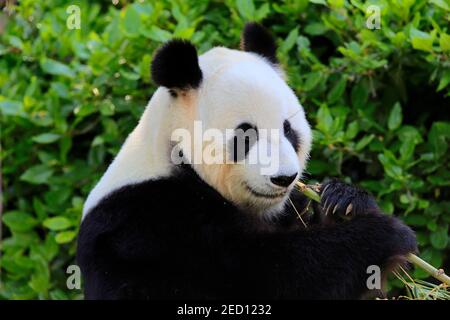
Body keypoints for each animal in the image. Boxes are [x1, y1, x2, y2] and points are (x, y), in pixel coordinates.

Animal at [75, 23, 416, 300]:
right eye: (246, 135)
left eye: (288, 129)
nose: (284, 178)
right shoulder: (149, 224)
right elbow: (266, 275)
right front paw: (384, 235)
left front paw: (343, 200)